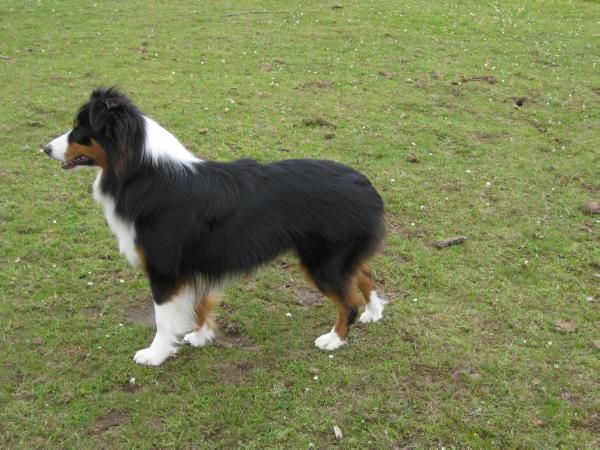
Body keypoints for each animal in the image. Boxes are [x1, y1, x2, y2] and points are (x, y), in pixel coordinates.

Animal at [43, 88, 387, 366]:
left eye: (80, 129)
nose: (45, 148)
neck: (141, 171)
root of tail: (365, 184)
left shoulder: (164, 269)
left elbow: (163, 318)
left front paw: (156, 354)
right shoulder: (196, 263)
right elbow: (200, 304)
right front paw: (201, 336)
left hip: (322, 262)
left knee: (348, 302)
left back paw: (334, 339)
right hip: (339, 257)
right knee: (363, 274)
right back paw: (373, 312)